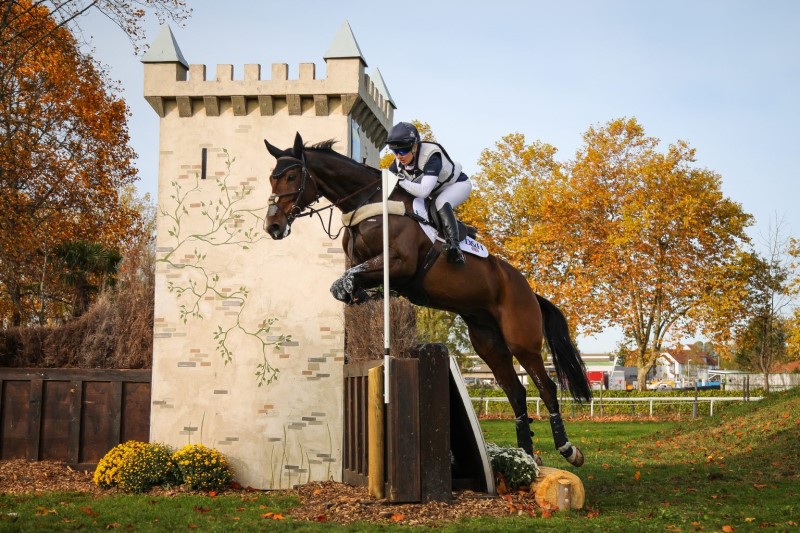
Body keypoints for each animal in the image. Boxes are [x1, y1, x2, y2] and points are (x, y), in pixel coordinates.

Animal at [266, 132, 592, 466]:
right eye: (271, 178)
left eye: (291, 176)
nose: (273, 226)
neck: (368, 204)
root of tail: (529, 290)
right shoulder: (368, 266)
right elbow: (345, 284)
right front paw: (364, 296)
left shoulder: (400, 264)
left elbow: (347, 278)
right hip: (488, 342)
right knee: (516, 392)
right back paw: (526, 457)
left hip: (521, 339)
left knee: (546, 387)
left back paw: (568, 450)